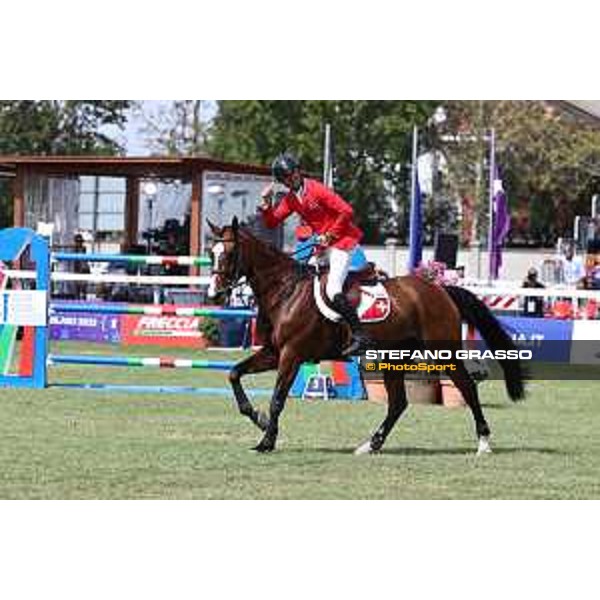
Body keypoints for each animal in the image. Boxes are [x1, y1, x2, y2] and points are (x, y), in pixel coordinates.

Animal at [207, 219, 524, 454]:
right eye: (212, 253)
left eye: (229, 254)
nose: (214, 294)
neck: (286, 291)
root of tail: (440, 289)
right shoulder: (274, 352)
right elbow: (234, 374)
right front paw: (258, 420)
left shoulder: (291, 355)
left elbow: (277, 398)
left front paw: (266, 441)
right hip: (395, 357)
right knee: (398, 403)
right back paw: (371, 444)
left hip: (442, 352)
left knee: (467, 388)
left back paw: (483, 443)